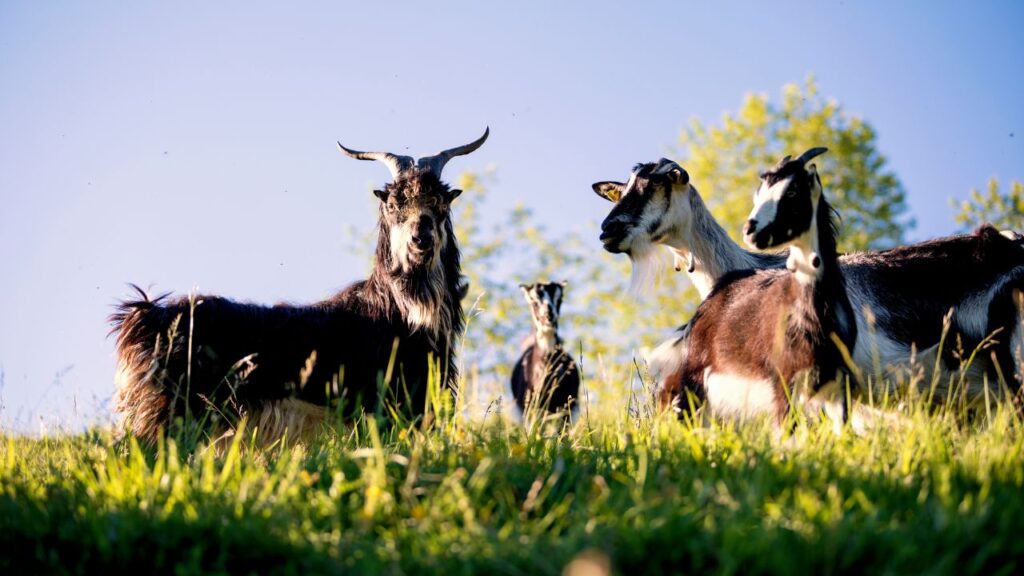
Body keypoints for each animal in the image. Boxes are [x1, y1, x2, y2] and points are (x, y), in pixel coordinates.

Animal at [110, 128, 489, 443]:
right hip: (167, 414)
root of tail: (148, 316)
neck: (395, 311)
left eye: (440, 204)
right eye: (394, 204)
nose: (420, 239)